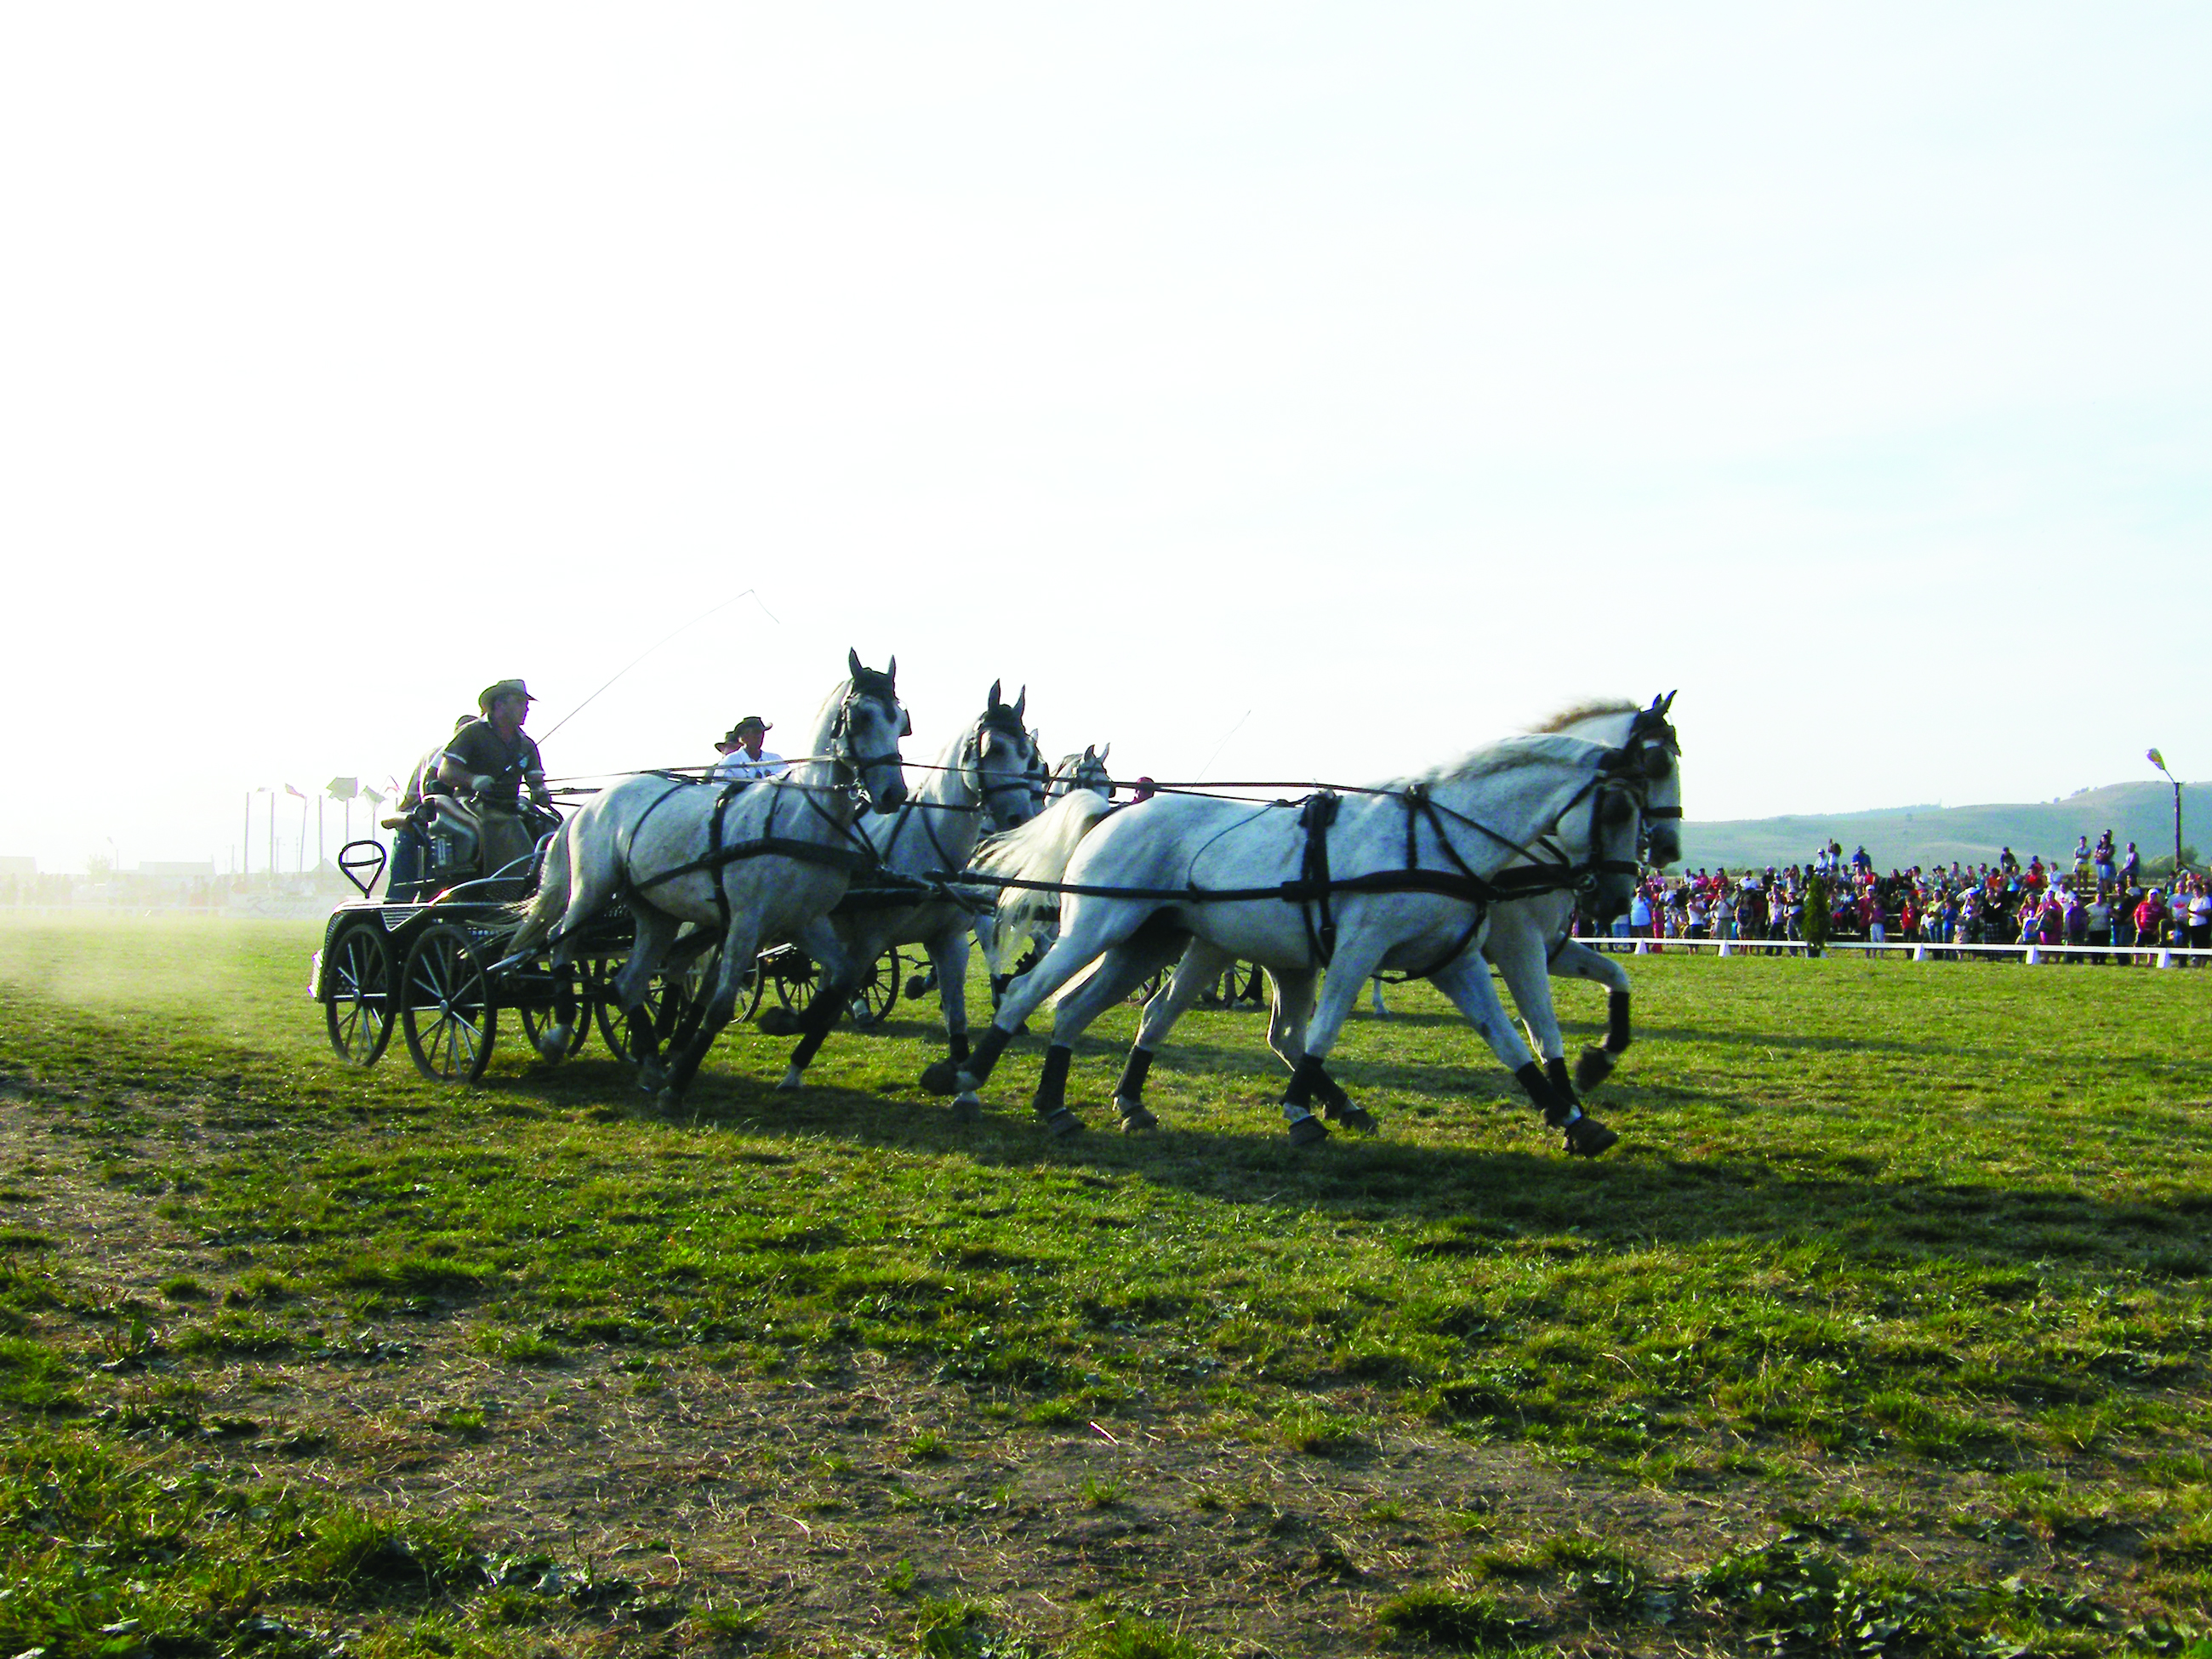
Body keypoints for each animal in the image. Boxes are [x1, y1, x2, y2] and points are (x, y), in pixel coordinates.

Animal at [509, 654, 907, 1110]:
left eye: (901, 721)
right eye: (861, 717)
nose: (893, 794)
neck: (802, 820)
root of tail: (593, 802)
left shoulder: (803, 923)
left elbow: (840, 978)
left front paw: (782, 1021)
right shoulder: (746, 924)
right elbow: (717, 1008)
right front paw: (677, 1085)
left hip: (656, 913)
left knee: (628, 983)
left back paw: (650, 1066)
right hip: (592, 890)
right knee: (560, 941)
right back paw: (559, 1035)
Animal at [756, 676, 1040, 1084]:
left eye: (1028, 755)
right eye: (995, 748)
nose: (1020, 818)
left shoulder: (951, 940)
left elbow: (958, 1015)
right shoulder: (868, 939)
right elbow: (833, 1002)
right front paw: (794, 1066)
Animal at [915, 734, 1663, 1150]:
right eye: (1619, 806)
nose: (1613, 898)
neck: (1435, 841)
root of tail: (1111, 812)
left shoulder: (1453, 963)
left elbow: (1509, 1039)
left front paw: (1573, 1118)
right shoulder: (1361, 949)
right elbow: (1324, 1031)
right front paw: (1303, 1113)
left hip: (1148, 946)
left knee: (1080, 1010)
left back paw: (1063, 1106)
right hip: (1097, 931)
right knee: (1026, 995)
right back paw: (967, 1083)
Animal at [1115, 694, 1680, 1141]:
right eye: (1654, 768)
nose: (1662, 854)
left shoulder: (1524, 948)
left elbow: (1592, 989)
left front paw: (1589, 1078)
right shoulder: (1514, 945)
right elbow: (1541, 1029)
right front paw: (1574, 1094)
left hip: (1234, 945)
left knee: (1212, 1020)